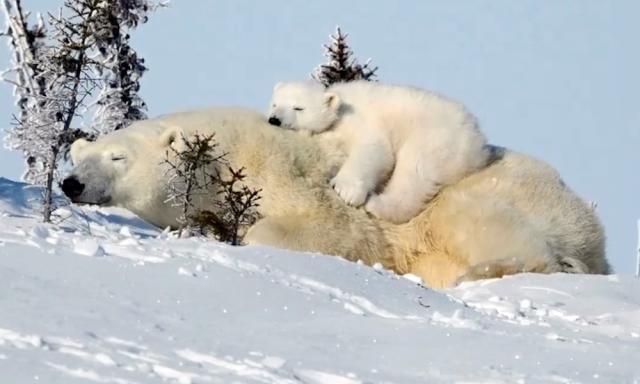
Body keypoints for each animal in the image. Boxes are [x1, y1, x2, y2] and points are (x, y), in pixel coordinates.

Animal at [63, 106, 608, 286]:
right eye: (80, 156)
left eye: (118, 157)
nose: (71, 184)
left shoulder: (292, 177)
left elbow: (328, 228)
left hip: (494, 194)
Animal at [266, 82, 490, 224]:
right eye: (275, 103)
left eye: (298, 107)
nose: (274, 119)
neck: (340, 107)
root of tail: (477, 140)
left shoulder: (362, 121)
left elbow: (374, 150)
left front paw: (345, 190)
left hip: (433, 140)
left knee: (413, 175)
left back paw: (376, 203)